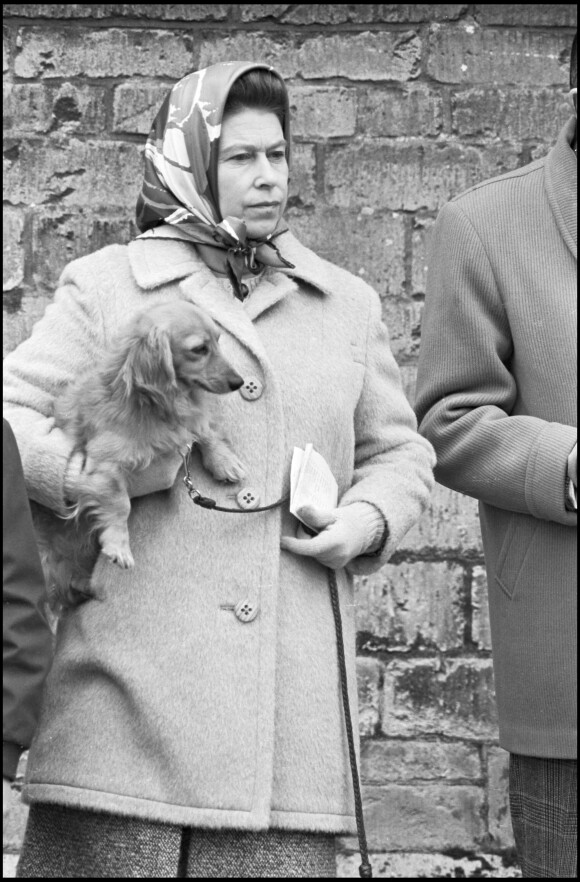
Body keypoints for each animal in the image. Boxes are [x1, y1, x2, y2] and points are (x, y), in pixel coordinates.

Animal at [32, 300, 245, 608]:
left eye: (218, 342)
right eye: (199, 349)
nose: (239, 382)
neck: (150, 404)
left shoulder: (188, 420)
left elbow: (205, 428)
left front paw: (223, 459)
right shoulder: (103, 465)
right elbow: (120, 503)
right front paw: (118, 544)